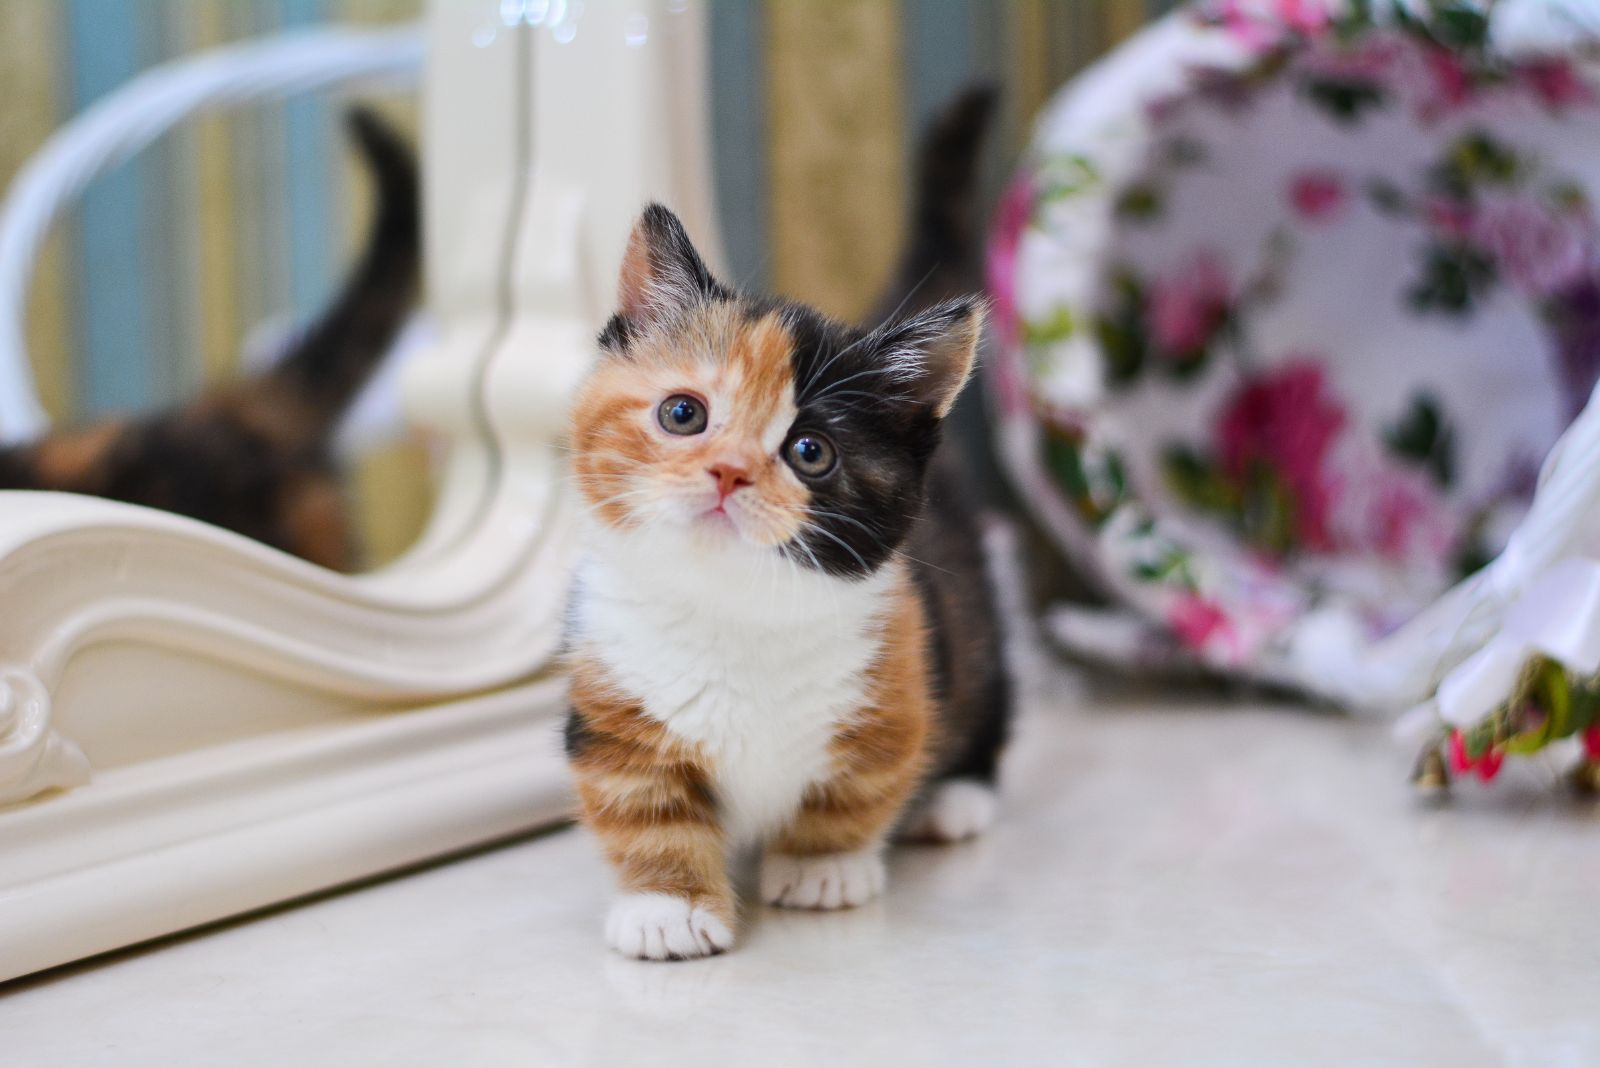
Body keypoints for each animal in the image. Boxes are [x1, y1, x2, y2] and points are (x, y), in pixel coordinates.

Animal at [563, 199, 1011, 959]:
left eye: (810, 452)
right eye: (683, 413)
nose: (728, 472)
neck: (732, 608)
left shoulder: (895, 676)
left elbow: (859, 787)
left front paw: (821, 867)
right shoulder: (611, 699)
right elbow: (643, 807)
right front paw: (667, 905)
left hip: (969, 615)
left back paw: (957, 799)